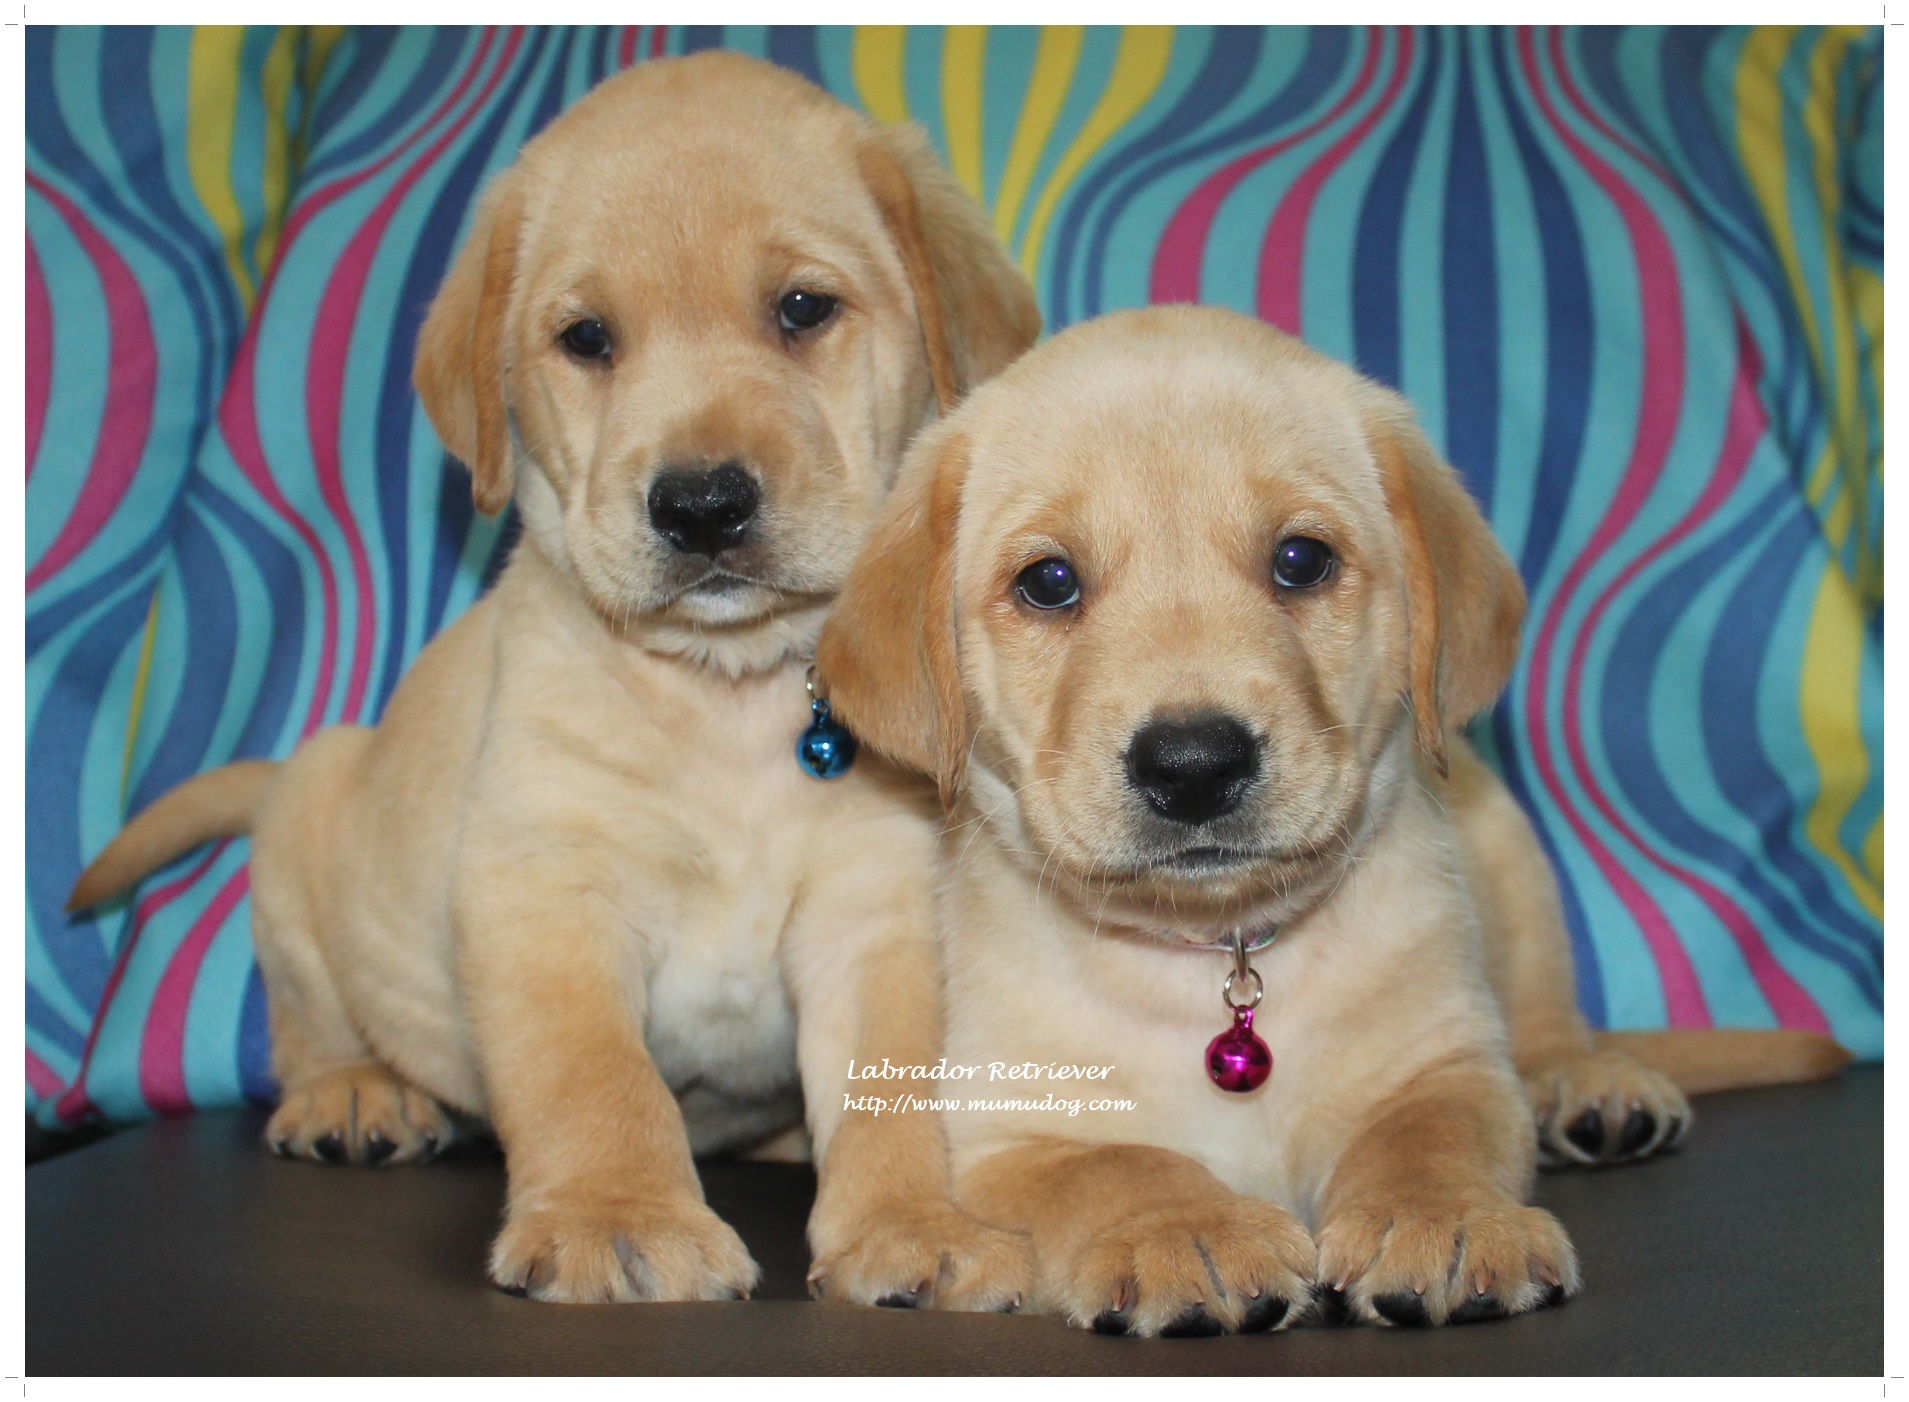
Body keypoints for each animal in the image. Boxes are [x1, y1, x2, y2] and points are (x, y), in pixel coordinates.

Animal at [69, 51, 1041, 1309]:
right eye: (586, 338)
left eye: (801, 309)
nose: (701, 503)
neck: (727, 696)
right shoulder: (544, 890)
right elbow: (592, 1077)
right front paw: (614, 1216)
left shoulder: (877, 909)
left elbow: (896, 1089)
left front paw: (915, 1224)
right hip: (308, 829)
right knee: (307, 1016)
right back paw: (355, 1092)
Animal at [815, 305, 1850, 1335]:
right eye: (1048, 582)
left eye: (1300, 561)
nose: (1194, 765)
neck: (1215, 960)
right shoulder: (1011, 1132)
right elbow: (1117, 1166)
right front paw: (1188, 1230)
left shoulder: (1445, 1064)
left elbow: (1426, 1136)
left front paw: (1440, 1220)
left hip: (1506, 850)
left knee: (1543, 1023)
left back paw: (1589, 1082)